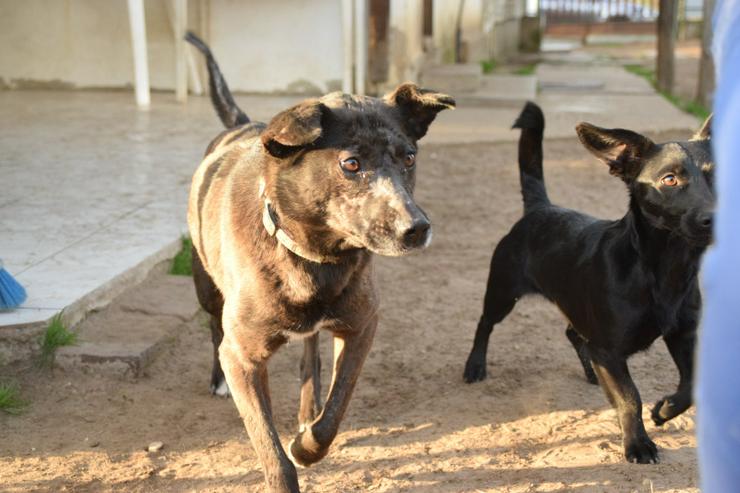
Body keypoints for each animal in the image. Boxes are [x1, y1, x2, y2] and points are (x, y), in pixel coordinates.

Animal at [186, 32, 450, 490]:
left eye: (409, 158)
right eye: (351, 163)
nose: (416, 228)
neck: (316, 261)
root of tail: (242, 123)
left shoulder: (362, 327)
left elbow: (334, 413)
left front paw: (307, 444)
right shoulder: (243, 359)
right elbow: (269, 448)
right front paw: (285, 465)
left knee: (311, 354)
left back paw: (307, 409)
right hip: (205, 287)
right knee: (213, 327)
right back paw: (217, 381)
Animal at [466, 102, 712, 464]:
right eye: (670, 179)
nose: (716, 215)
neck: (664, 269)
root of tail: (541, 207)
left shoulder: (682, 334)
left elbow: (692, 384)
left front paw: (665, 410)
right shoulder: (608, 348)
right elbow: (630, 397)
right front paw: (638, 444)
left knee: (572, 333)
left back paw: (592, 373)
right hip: (503, 291)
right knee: (485, 323)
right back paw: (475, 366)